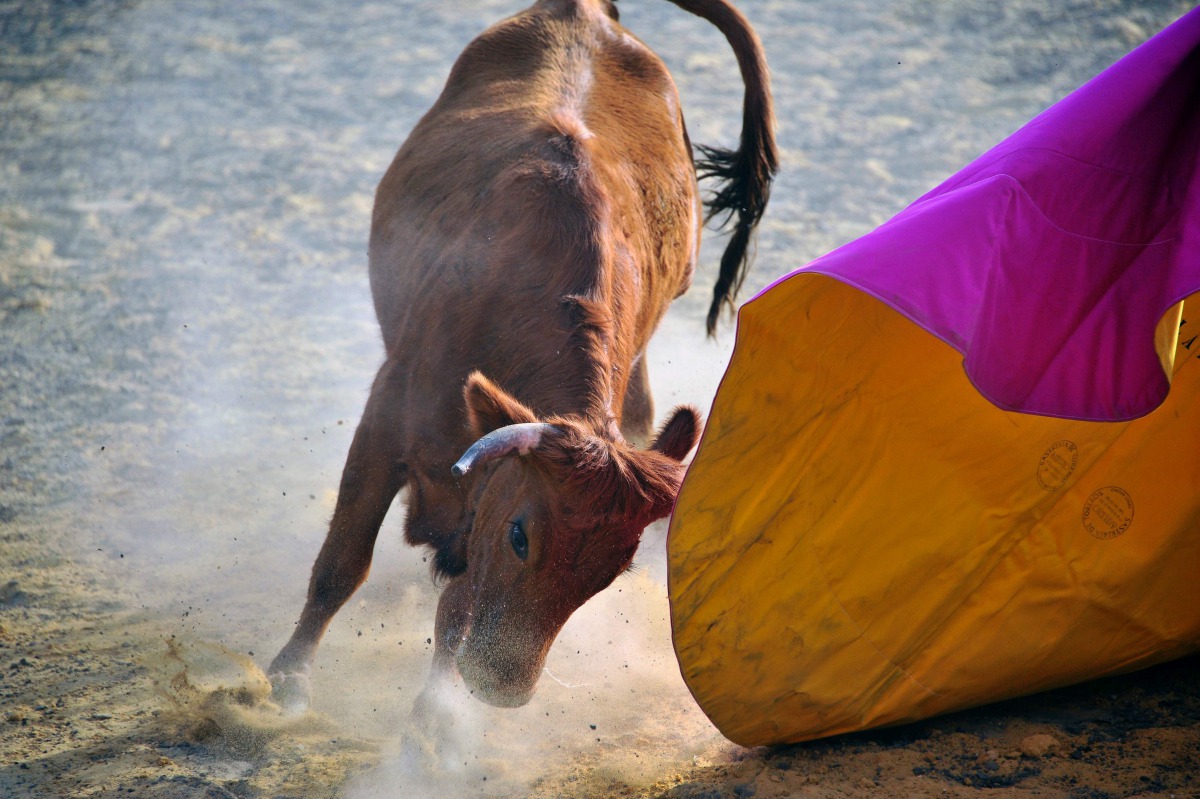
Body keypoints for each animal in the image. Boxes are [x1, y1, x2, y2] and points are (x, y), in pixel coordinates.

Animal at [270, 0, 777, 710]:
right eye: (521, 535)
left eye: (610, 572)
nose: (504, 687)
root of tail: (590, 13)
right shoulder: (385, 419)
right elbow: (343, 561)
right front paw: (286, 682)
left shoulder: (482, 497)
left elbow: (456, 612)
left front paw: (435, 721)